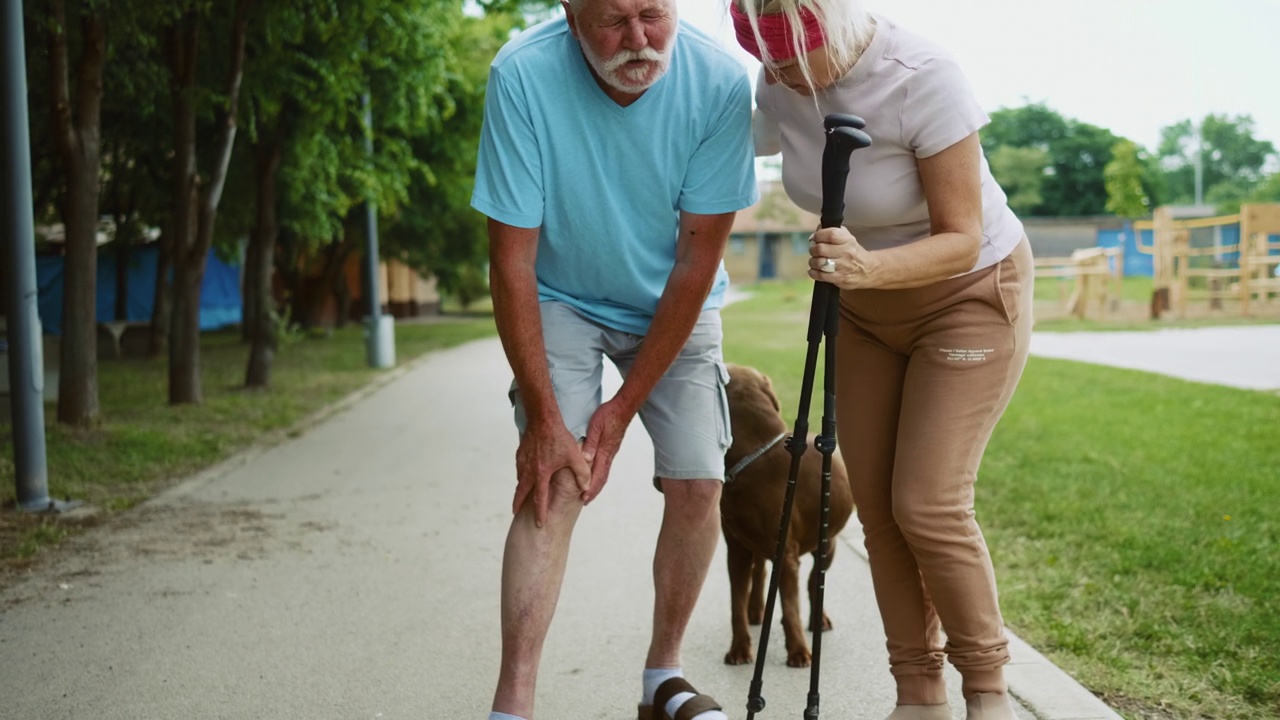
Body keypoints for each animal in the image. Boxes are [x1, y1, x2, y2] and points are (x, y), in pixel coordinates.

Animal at [721, 363, 849, 666]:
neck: (754, 455)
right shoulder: (736, 549)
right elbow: (736, 603)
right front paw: (739, 648)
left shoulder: (787, 556)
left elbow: (791, 608)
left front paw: (799, 650)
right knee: (760, 571)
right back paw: (757, 610)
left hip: (827, 543)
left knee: (814, 581)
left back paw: (818, 619)